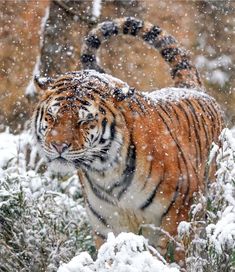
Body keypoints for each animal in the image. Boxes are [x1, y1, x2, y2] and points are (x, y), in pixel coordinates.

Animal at [32, 16, 224, 262]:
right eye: (52, 116)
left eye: (85, 121)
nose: (58, 145)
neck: (105, 172)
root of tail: (190, 88)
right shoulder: (107, 224)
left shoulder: (179, 215)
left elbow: (171, 257)